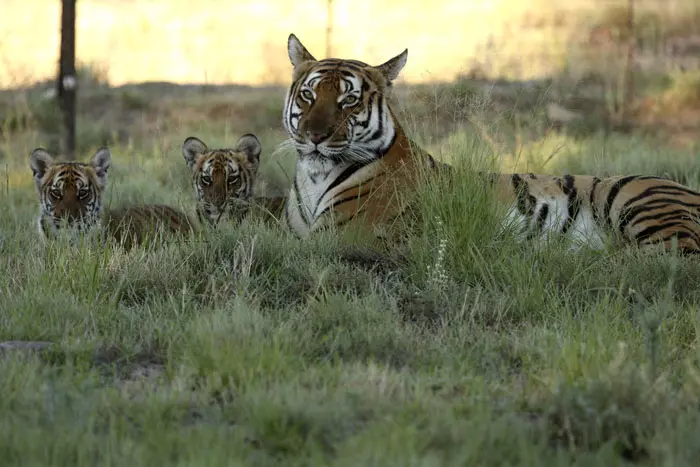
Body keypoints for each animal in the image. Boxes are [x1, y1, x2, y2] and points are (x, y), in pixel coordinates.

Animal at [282, 33, 700, 256]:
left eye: (348, 101)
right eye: (308, 95)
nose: (315, 136)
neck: (313, 179)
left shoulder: (339, 236)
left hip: (635, 199)